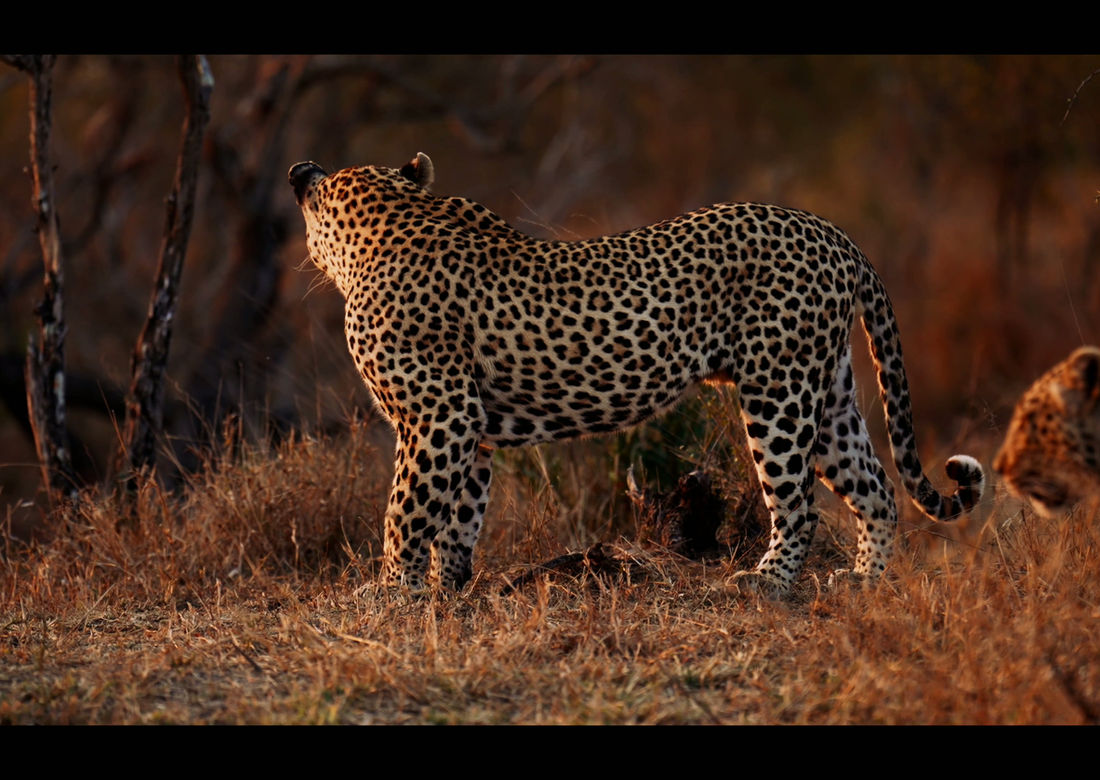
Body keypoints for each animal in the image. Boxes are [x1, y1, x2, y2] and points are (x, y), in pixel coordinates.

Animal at [288, 153, 985, 596]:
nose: (301, 172)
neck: (385, 223)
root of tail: (837, 235)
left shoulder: (439, 416)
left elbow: (405, 511)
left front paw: (389, 593)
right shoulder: (471, 429)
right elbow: (456, 517)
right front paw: (444, 590)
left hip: (779, 393)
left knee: (800, 505)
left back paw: (765, 584)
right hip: (828, 392)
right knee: (877, 489)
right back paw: (865, 581)